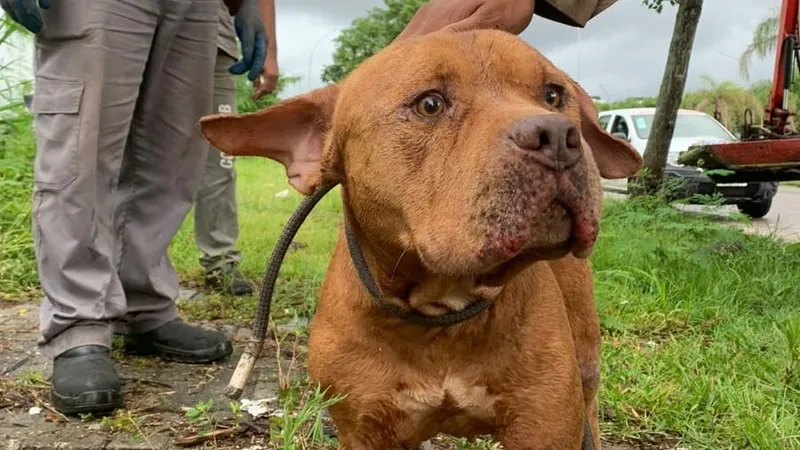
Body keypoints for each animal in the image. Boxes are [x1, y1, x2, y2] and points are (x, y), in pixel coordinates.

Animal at [202, 29, 644, 448]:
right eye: (429, 104)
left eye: (553, 95)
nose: (556, 136)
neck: (440, 312)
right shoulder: (366, 431)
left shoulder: (543, 428)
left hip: (584, 361)